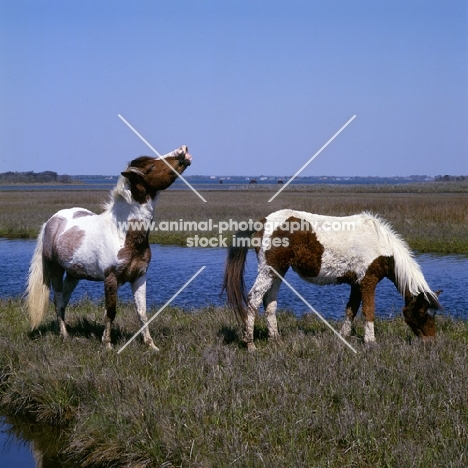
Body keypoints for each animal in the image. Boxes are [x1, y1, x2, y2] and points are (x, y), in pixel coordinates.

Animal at [24, 146, 193, 352]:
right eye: (152, 166)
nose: (183, 151)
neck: (122, 233)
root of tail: (52, 221)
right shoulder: (111, 279)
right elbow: (110, 312)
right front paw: (108, 345)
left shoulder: (139, 276)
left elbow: (142, 312)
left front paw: (151, 345)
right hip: (55, 270)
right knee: (57, 300)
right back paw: (65, 336)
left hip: (74, 274)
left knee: (63, 301)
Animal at [224, 210, 442, 350]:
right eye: (423, 313)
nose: (431, 342)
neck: (382, 245)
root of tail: (264, 221)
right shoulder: (368, 281)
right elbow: (368, 311)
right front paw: (370, 342)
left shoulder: (356, 284)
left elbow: (351, 309)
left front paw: (344, 337)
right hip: (270, 270)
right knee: (253, 299)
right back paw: (250, 344)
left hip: (277, 271)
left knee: (270, 302)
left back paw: (276, 339)